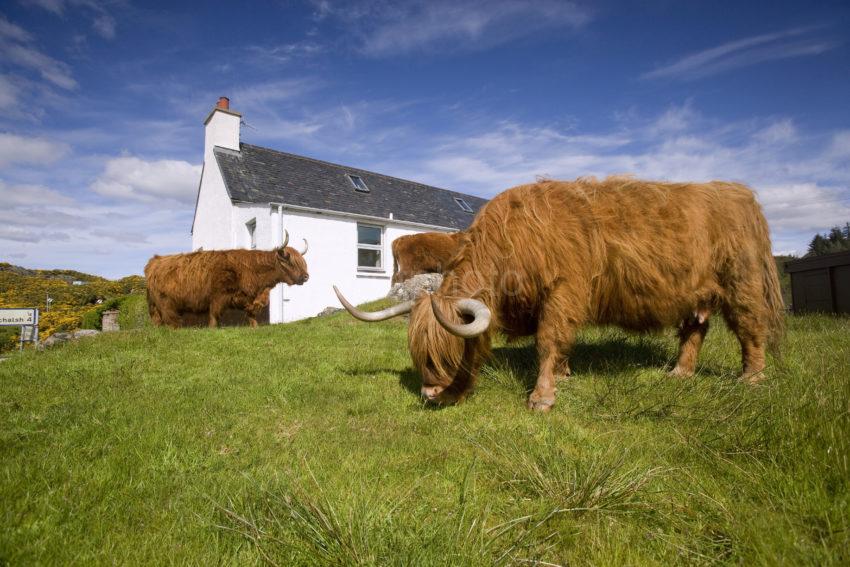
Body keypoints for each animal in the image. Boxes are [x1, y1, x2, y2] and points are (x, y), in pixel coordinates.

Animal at [147, 231, 308, 328]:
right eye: (290, 262)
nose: (306, 276)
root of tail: (155, 261)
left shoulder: (248, 299)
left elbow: (252, 316)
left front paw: (255, 327)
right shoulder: (218, 297)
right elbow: (214, 317)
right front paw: (212, 329)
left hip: (157, 307)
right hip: (166, 304)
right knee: (171, 321)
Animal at [334, 178, 784, 412]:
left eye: (447, 355)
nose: (429, 395)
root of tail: (735, 191)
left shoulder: (564, 289)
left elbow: (549, 339)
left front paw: (542, 397)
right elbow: (558, 340)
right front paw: (565, 374)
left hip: (741, 282)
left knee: (750, 327)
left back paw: (752, 378)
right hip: (695, 292)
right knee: (694, 328)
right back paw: (679, 372)